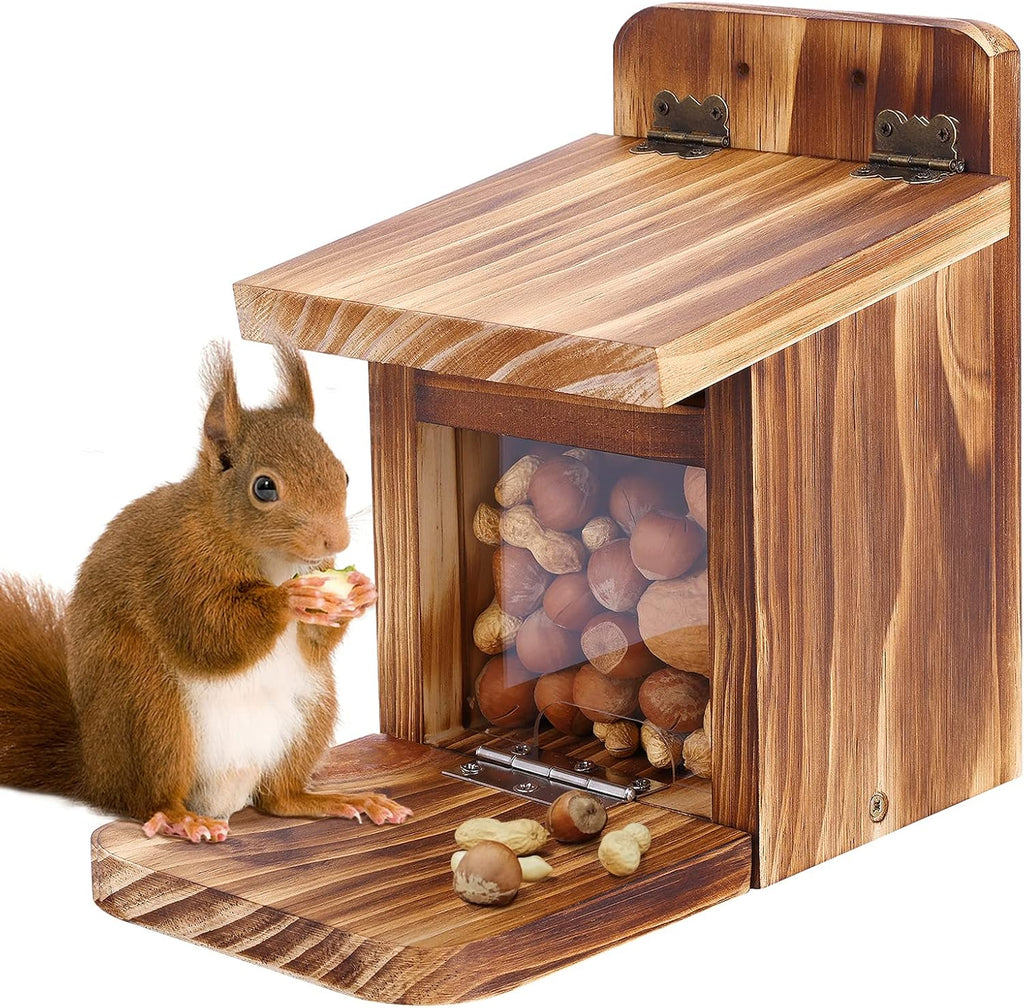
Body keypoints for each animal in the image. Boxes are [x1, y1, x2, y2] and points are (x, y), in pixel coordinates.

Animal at [0, 340, 412, 842]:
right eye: (264, 487)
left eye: (345, 474)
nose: (336, 542)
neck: (269, 558)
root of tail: (94, 770)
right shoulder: (174, 565)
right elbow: (207, 632)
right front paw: (288, 600)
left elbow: (315, 642)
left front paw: (363, 591)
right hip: (149, 711)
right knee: (151, 796)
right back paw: (180, 818)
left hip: (311, 710)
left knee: (279, 799)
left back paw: (338, 800)